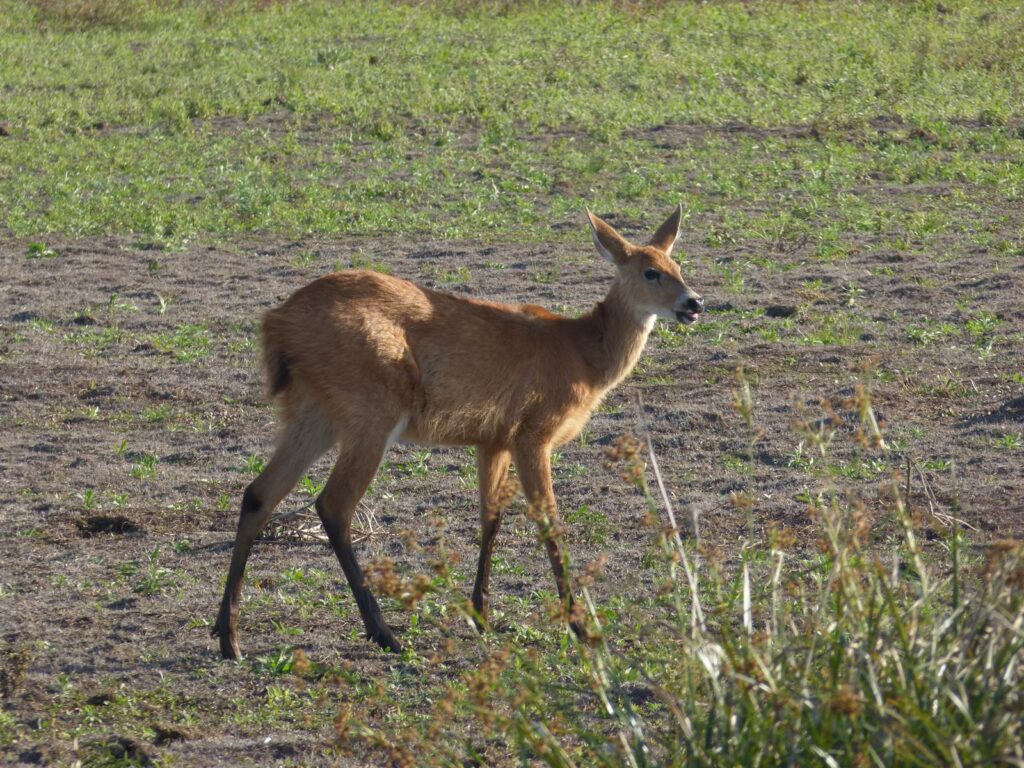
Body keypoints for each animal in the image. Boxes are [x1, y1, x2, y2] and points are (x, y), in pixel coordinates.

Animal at [211, 205, 700, 663]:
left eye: (677, 264)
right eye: (650, 271)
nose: (694, 303)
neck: (581, 352)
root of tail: (277, 322)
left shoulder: (493, 441)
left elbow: (490, 519)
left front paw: (481, 615)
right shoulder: (532, 436)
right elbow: (549, 523)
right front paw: (579, 625)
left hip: (313, 415)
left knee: (258, 494)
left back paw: (228, 638)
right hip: (371, 416)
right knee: (333, 505)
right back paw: (385, 634)